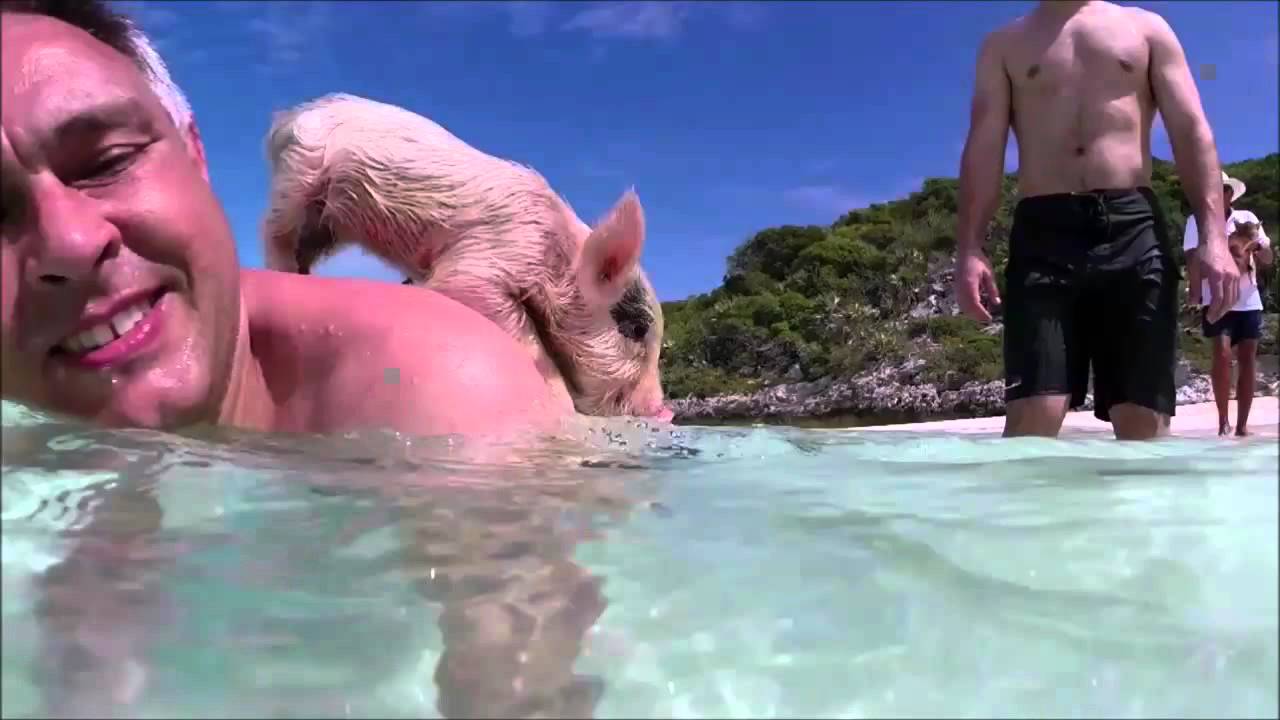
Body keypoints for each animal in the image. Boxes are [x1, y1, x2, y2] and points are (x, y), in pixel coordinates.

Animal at [260, 93, 671, 421]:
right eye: (636, 329)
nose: (662, 410)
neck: (553, 254)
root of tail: (290, 116)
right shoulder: (486, 259)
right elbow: (513, 325)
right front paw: (561, 403)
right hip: (298, 178)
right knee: (273, 232)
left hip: (326, 226)